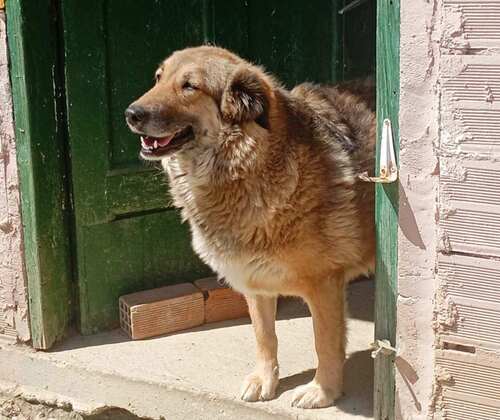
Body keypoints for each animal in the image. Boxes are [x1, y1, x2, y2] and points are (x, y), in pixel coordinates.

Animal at [125, 46, 375, 409]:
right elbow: (264, 336)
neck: (247, 164)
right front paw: (265, 380)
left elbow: (325, 343)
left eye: (190, 86)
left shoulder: (324, 284)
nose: (131, 114)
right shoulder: (254, 282)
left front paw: (323, 391)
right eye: (159, 78)